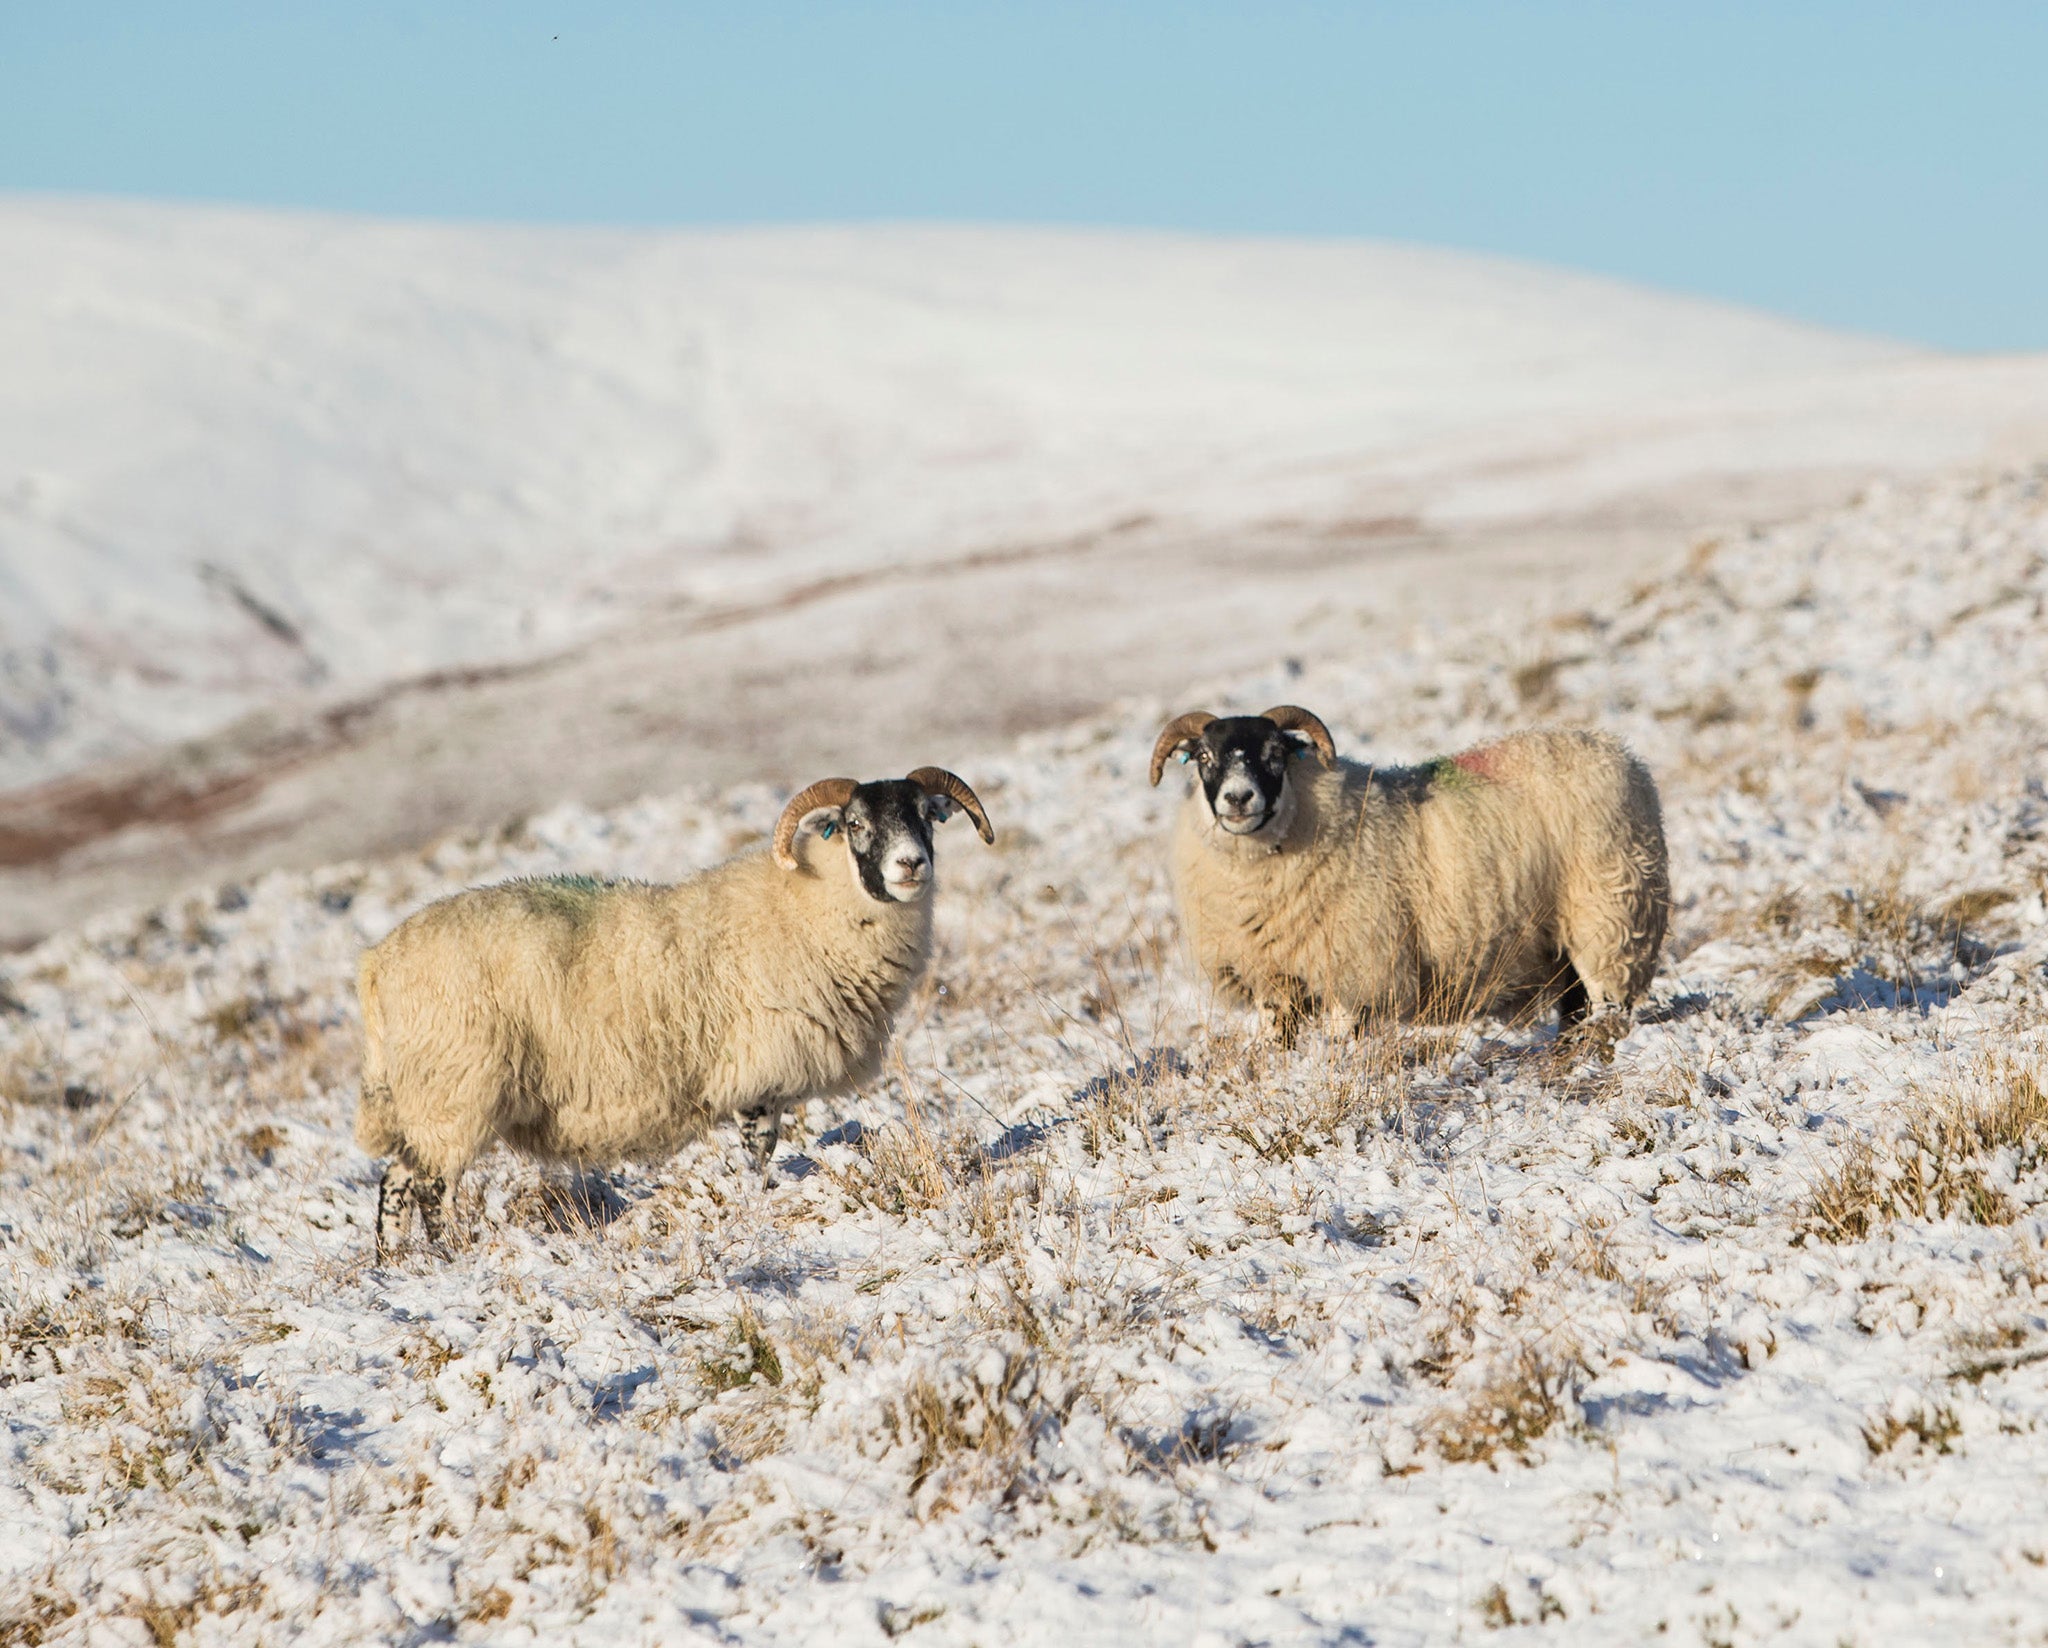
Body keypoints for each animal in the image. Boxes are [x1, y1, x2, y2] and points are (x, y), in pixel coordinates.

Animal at [356, 765, 995, 1252]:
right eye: (857, 824)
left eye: (925, 816)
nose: (911, 865)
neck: (806, 904)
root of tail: (377, 962)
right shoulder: (757, 1075)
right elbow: (758, 1154)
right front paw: (759, 1206)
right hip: (452, 1089)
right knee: (430, 1188)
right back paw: (448, 1257)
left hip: (428, 1097)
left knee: (396, 1180)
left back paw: (396, 1264)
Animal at [1155, 704, 1662, 1039]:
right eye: (1204, 757)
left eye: (1276, 753)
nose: (1238, 798)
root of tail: (1615, 751)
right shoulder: (1273, 979)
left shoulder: (1356, 971)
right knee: (1575, 1003)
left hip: (1608, 915)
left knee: (1607, 999)